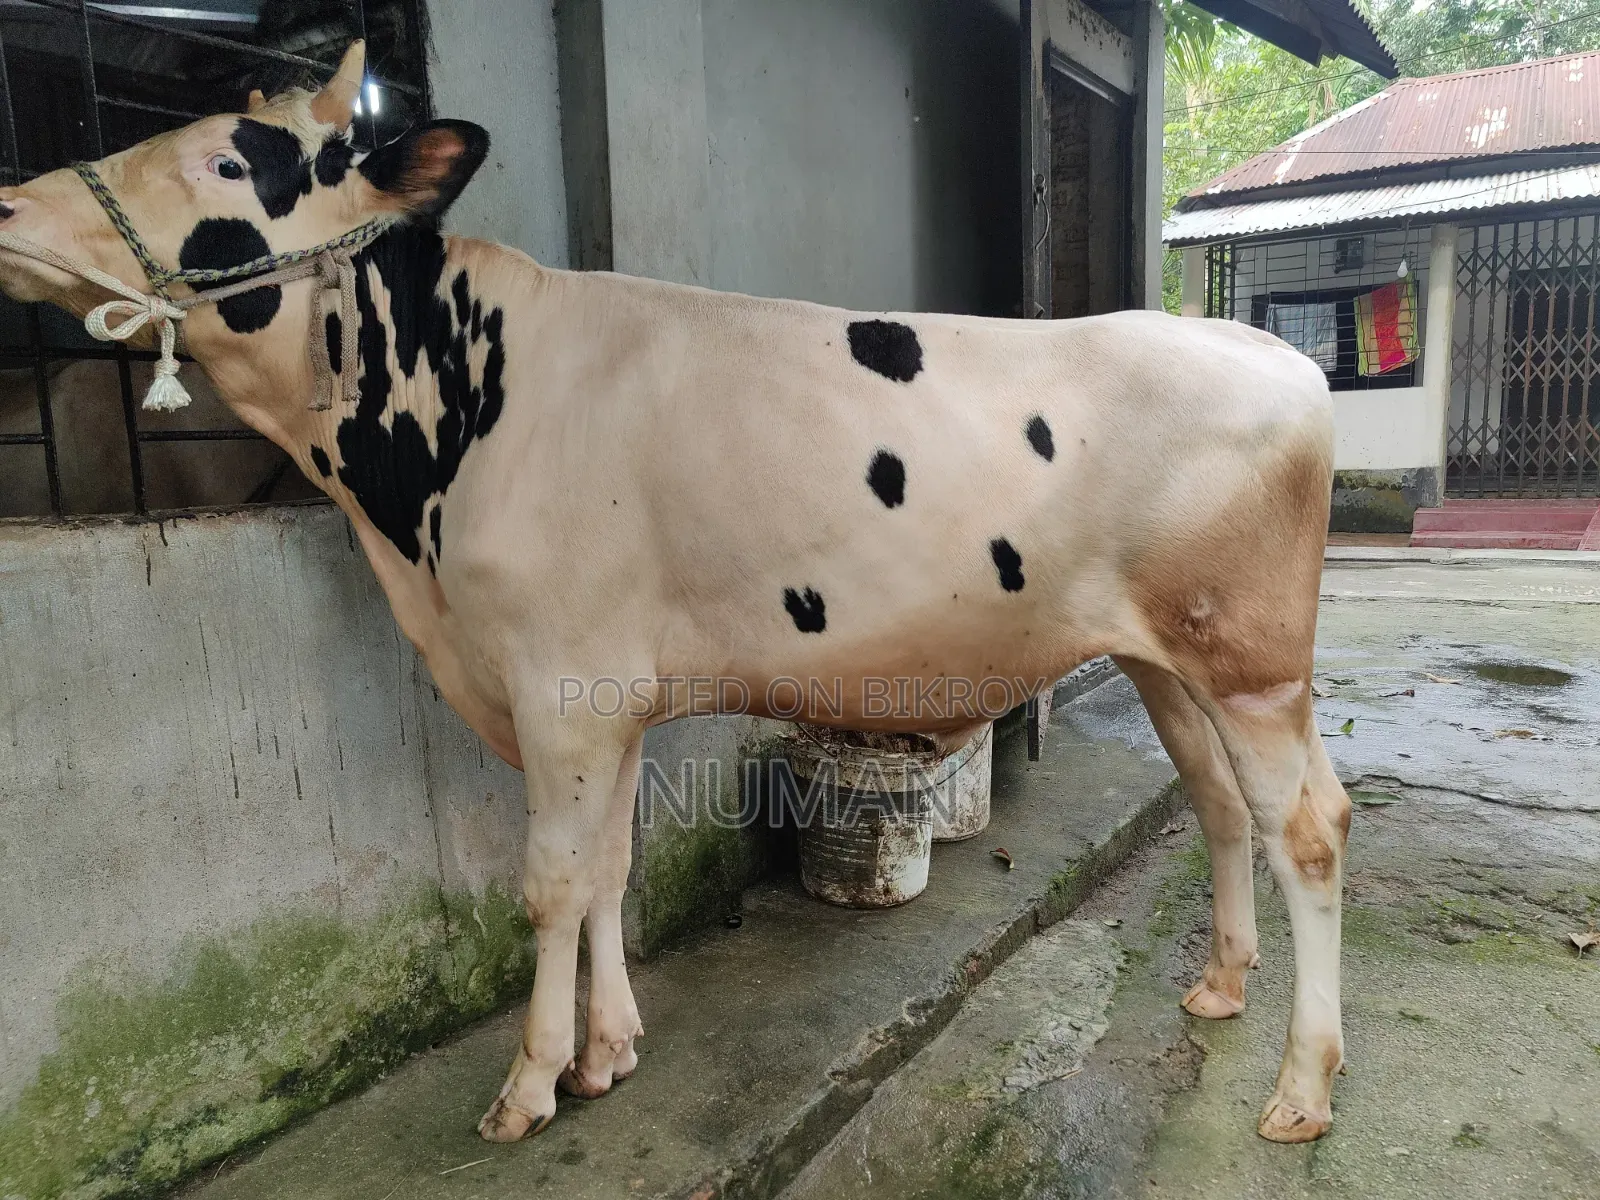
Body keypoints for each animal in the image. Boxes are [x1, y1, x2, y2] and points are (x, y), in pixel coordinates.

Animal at [0, 43, 1351, 1146]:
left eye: (227, 158)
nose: (9, 201)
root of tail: (1260, 350)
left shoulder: (557, 681)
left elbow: (551, 883)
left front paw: (528, 1084)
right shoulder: (607, 695)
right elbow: (606, 869)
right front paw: (608, 1052)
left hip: (1252, 663)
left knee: (1306, 829)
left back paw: (1302, 1088)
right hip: (1166, 659)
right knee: (1222, 808)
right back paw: (1221, 988)